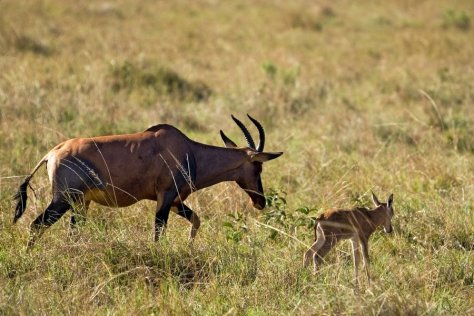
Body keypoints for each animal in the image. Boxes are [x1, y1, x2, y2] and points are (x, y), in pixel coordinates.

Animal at [13, 115, 282, 248]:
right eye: (257, 166)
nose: (260, 202)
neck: (189, 150)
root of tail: (51, 153)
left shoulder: (175, 202)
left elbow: (196, 220)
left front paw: (189, 248)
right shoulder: (165, 198)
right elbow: (158, 232)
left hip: (80, 204)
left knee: (72, 232)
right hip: (63, 200)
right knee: (36, 225)